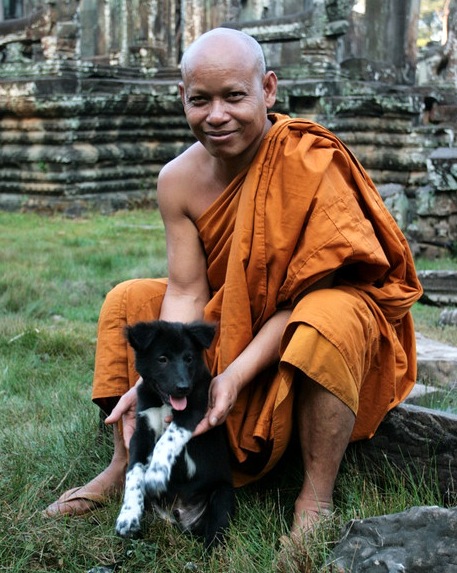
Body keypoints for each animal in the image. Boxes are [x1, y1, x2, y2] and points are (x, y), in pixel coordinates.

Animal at [114, 320, 235, 548]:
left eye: (189, 358)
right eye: (162, 359)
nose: (183, 388)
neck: (163, 403)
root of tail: (180, 517)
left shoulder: (192, 412)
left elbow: (166, 439)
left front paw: (155, 474)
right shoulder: (141, 432)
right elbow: (134, 471)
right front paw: (128, 516)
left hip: (222, 496)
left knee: (215, 535)